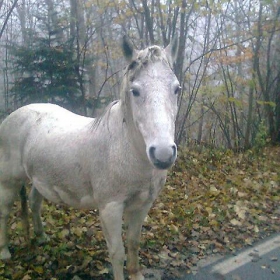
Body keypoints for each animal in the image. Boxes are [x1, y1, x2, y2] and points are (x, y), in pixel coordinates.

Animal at [0, 35, 179, 280]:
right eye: (135, 91)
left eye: (177, 89)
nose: (163, 154)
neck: (125, 149)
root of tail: (14, 115)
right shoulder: (110, 208)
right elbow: (117, 252)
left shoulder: (143, 205)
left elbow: (133, 243)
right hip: (9, 181)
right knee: (5, 211)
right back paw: (5, 252)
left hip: (40, 178)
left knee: (35, 203)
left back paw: (41, 237)